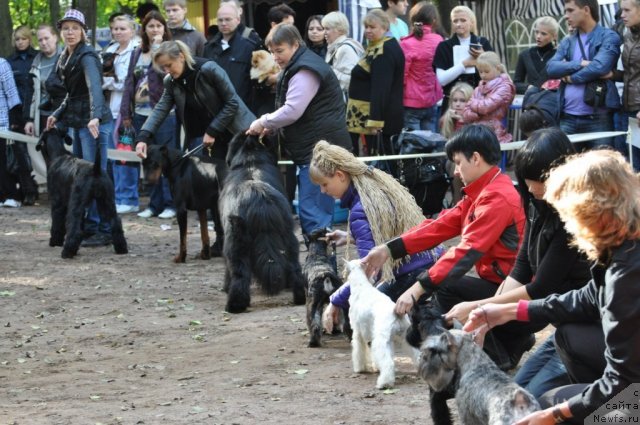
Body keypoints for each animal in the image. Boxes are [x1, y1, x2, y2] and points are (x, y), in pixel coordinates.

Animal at [36, 126, 130, 258]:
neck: (58, 155)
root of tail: (95, 169)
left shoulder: (57, 203)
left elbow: (57, 223)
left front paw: (55, 242)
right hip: (106, 201)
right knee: (115, 222)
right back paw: (121, 248)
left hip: (78, 202)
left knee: (74, 228)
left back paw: (67, 252)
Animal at [221, 134, 306, 314]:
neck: (251, 162)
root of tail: (260, 202)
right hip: (289, 237)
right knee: (294, 267)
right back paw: (299, 297)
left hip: (236, 241)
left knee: (240, 273)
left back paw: (234, 305)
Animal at [344, 258, 420, 388]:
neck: (360, 286)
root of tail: (396, 312)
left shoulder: (358, 333)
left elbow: (359, 351)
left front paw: (360, 368)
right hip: (405, 337)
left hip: (381, 340)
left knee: (389, 363)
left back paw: (384, 383)